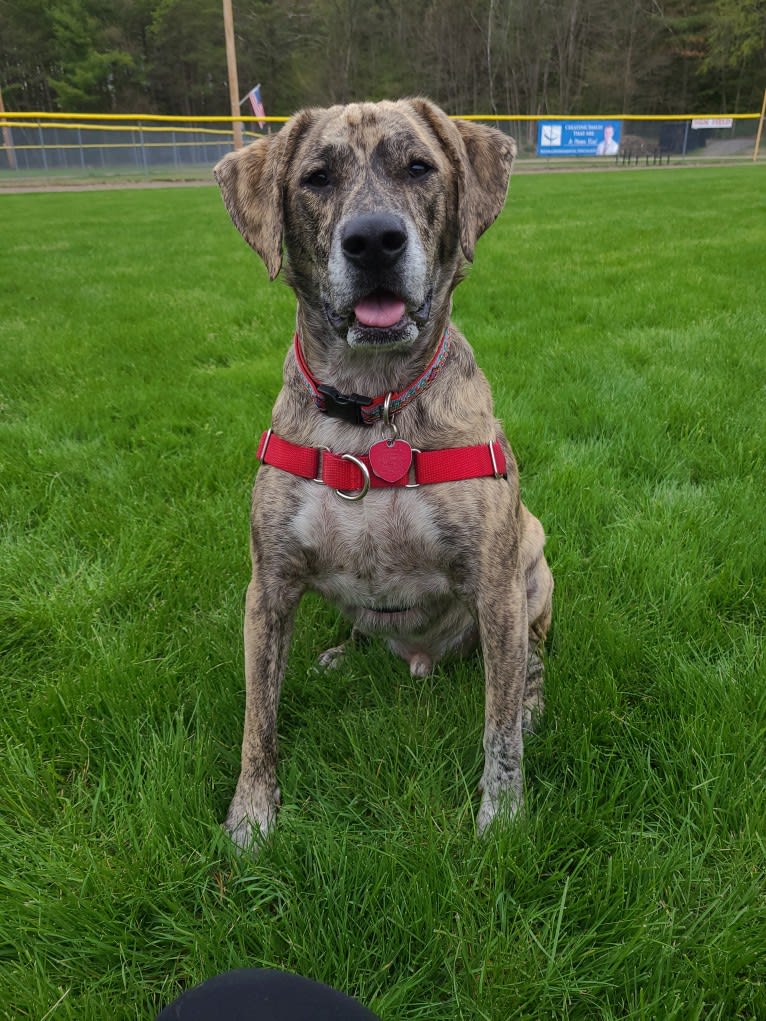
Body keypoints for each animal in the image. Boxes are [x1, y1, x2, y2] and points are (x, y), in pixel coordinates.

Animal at [214, 97, 551, 845]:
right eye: (316, 177)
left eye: (420, 167)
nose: (373, 240)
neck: (371, 413)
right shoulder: (268, 584)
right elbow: (258, 715)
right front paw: (252, 813)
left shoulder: (497, 584)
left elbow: (499, 730)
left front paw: (502, 817)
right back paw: (347, 653)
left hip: (535, 561)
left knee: (530, 663)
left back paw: (532, 696)